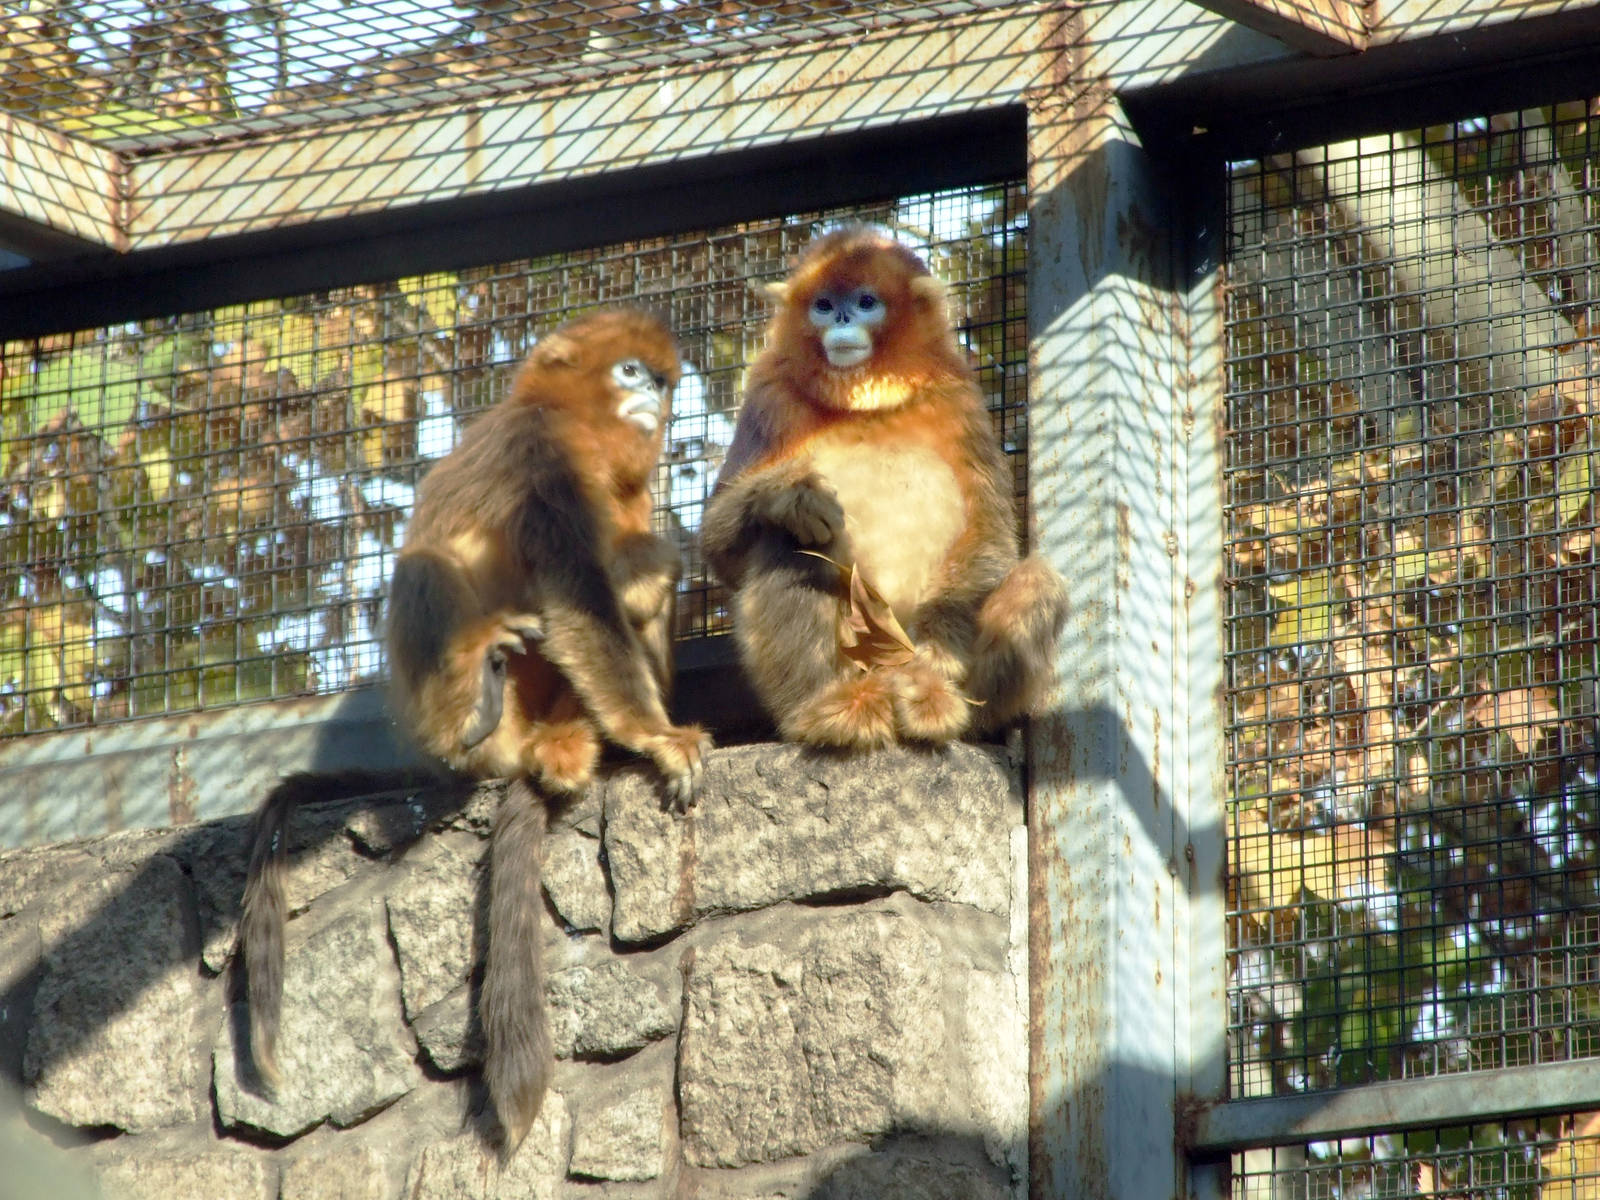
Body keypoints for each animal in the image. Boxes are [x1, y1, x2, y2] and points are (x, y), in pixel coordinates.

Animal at [240, 308, 709, 1153]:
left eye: (661, 379)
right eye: (630, 371)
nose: (653, 397)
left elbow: (606, 590)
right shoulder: (539, 451)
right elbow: (574, 592)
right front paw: (657, 739)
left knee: (647, 563)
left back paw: (573, 743)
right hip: (447, 709)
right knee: (437, 570)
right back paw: (479, 698)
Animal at [701, 227, 1066, 750]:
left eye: (866, 302)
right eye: (824, 304)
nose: (842, 318)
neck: (865, 401)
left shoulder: (957, 397)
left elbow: (988, 529)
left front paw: (938, 657)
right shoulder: (769, 391)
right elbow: (718, 544)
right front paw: (792, 497)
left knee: (1038, 583)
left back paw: (940, 707)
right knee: (789, 542)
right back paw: (827, 709)